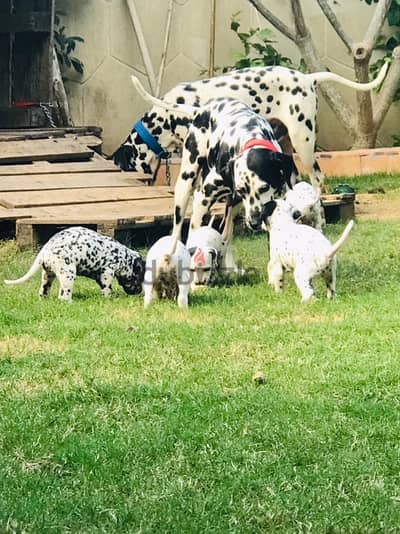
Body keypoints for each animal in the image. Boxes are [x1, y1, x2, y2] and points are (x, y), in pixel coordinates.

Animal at [3, 226, 145, 302]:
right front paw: (109, 298)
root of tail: (46, 248)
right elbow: (107, 289)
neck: (124, 257)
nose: (140, 292)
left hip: (48, 276)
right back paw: (71, 302)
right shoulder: (107, 273)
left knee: (45, 291)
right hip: (68, 275)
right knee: (64, 296)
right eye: (139, 279)